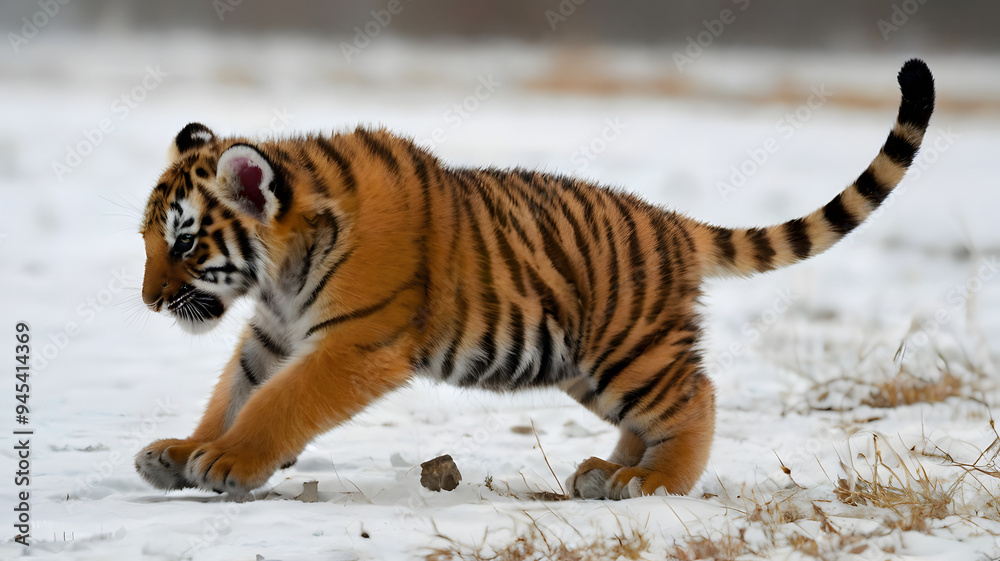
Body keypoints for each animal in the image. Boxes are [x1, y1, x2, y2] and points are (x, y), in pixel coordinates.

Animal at [135, 59, 934, 500]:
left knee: (695, 399)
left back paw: (650, 484)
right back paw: (607, 473)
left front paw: (228, 461)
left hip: (628, 352)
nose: (147, 301)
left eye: (183, 242)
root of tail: (674, 222)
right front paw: (179, 451)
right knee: (660, 411)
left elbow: (279, 402)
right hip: (589, 365)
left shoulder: (355, 345)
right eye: (147, 238)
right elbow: (234, 392)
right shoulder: (272, 333)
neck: (282, 269)